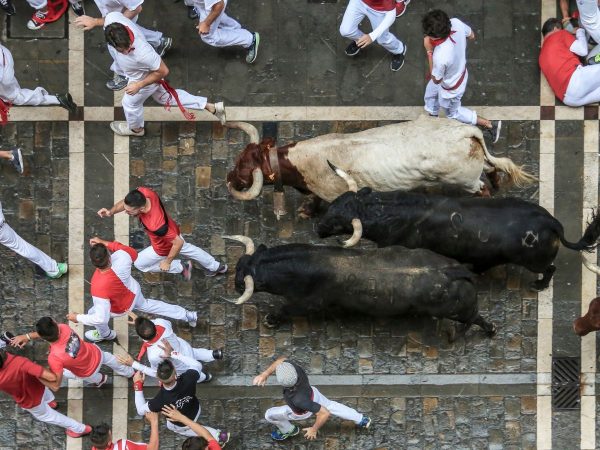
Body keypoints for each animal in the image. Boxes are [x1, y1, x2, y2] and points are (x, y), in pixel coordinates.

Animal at [225, 116, 536, 218]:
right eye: (239, 158)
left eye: (243, 167)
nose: (229, 177)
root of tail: (466, 131)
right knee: (492, 169)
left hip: (466, 180)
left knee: (482, 188)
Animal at [227, 241, 494, 336]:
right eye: (240, 265)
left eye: (243, 278)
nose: (235, 283)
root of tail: (454, 271)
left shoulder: (306, 303)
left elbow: (285, 309)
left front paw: (271, 319)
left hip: (457, 310)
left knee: (476, 318)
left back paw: (489, 330)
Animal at [316, 187, 600, 290]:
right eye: (334, 204)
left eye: (337, 220)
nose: (318, 228)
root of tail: (551, 222)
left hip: (535, 262)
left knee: (549, 269)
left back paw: (539, 286)